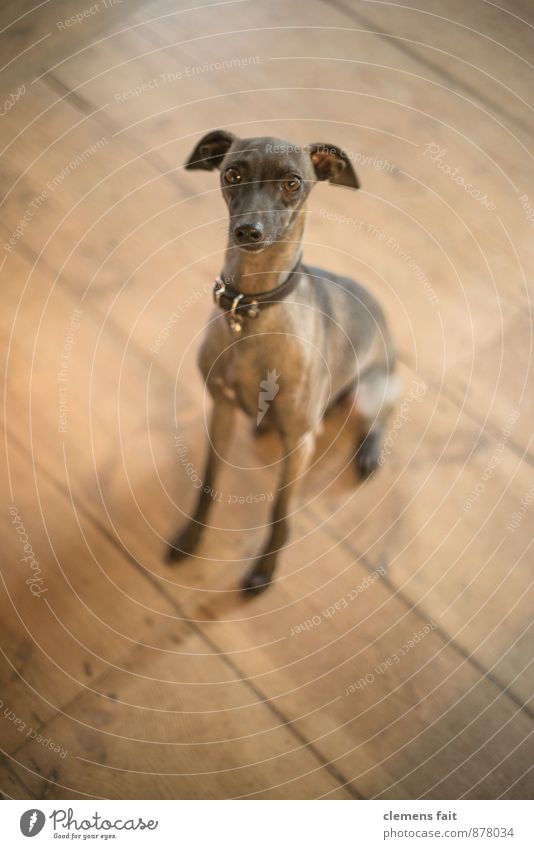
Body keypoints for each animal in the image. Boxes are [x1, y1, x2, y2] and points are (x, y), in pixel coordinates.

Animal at [168, 132, 398, 592]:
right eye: (232, 174)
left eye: (293, 182)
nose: (248, 231)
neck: (251, 306)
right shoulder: (221, 411)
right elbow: (208, 484)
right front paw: (190, 537)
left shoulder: (299, 445)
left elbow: (279, 512)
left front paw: (264, 570)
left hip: (369, 391)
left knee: (382, 415)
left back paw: (368, 453)